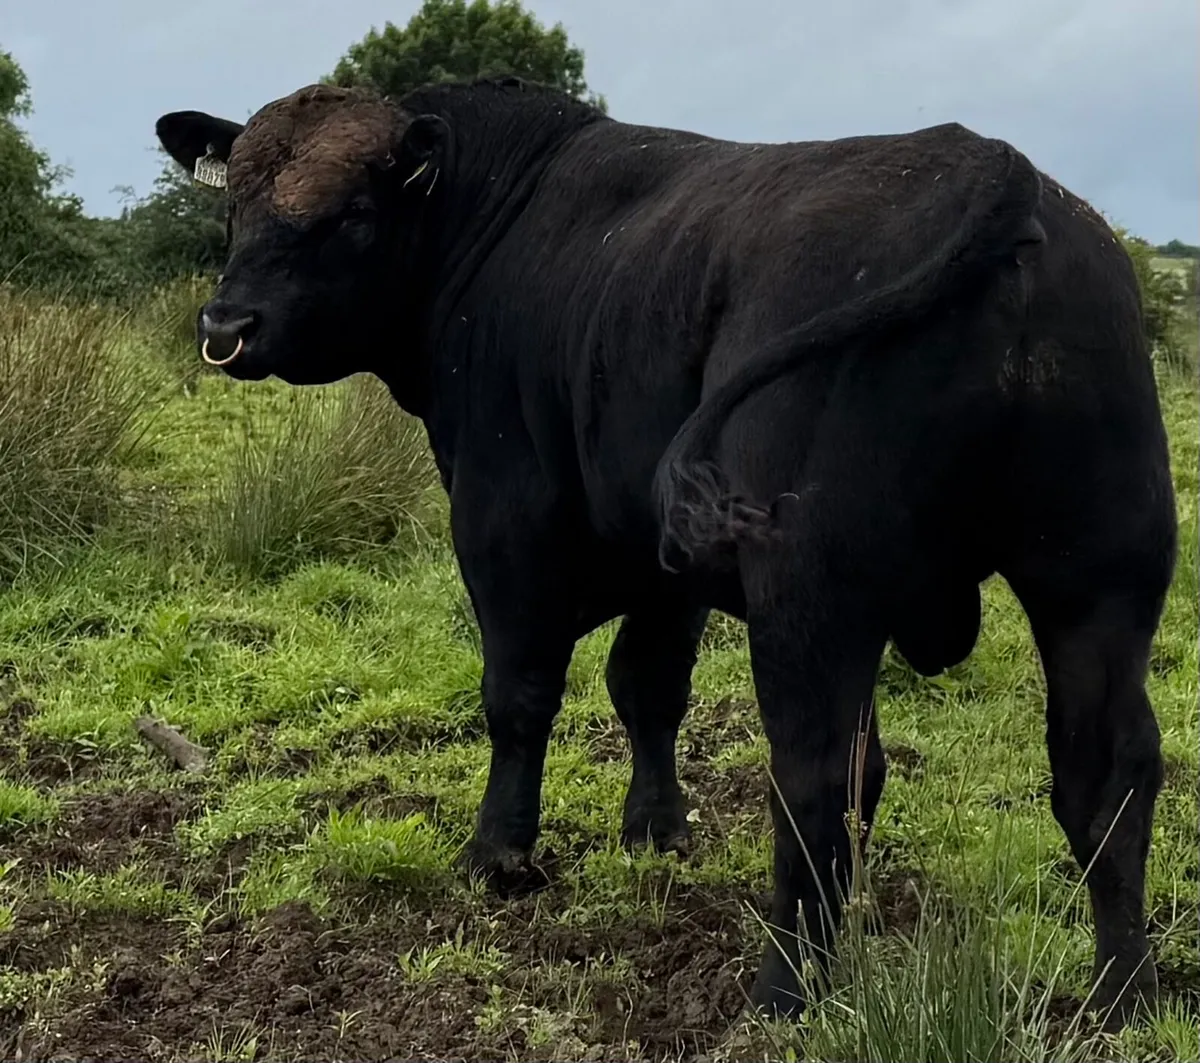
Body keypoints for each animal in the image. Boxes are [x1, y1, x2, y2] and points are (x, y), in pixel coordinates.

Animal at [155, 77, 1177, 1027]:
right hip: (1100, 579)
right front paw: (655, 830)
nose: (226, 327)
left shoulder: (502, 516)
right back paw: (1119, 994)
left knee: (820, 777)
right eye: (235, 206)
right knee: (1105, 775)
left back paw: (783, 989)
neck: (495, 221)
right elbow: (648, 684)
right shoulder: (660, 555)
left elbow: (519, 694)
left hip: (814, 598)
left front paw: (498, 854)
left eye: (354, 214)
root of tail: (990, 164)